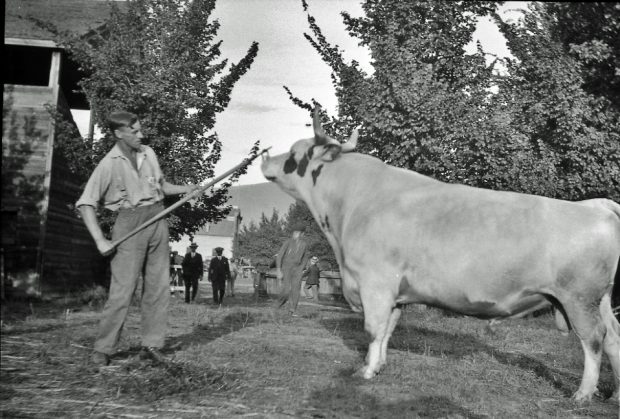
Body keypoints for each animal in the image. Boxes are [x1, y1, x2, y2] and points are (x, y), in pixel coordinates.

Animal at [260, 108, 620, 404]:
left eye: (294, 153)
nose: (265, 157)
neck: (351, 203)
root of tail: (595, 204)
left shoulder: (375, 283)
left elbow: (374, 329)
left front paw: (365, 372)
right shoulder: (395, 293)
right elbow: (388, 330)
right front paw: (379, 366)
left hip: (579, 297)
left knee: (594, 339)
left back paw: (583, 394)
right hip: (599, 298)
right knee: (614, 335)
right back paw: (613, 394)